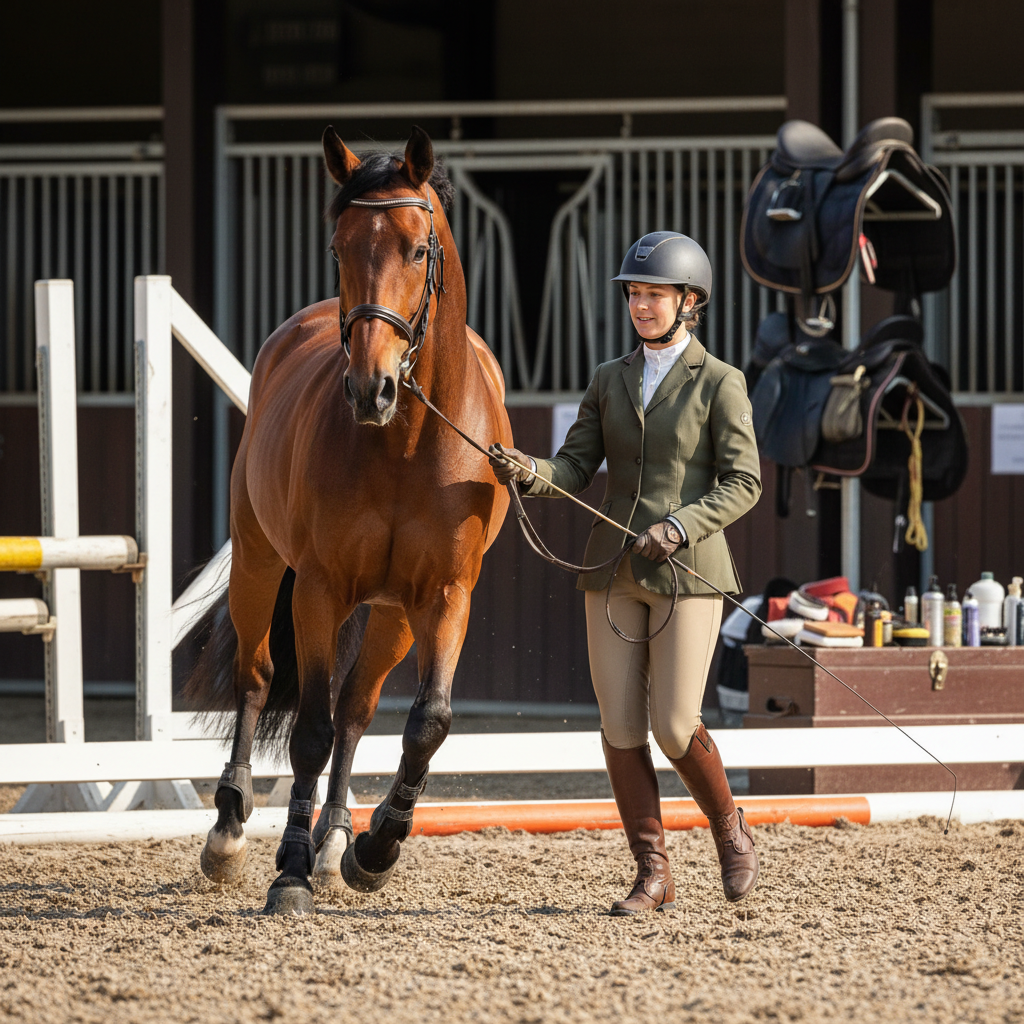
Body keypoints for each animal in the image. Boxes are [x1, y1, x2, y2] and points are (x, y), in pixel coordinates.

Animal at [186, 125, 512, 915]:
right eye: (338, 248)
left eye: (419, 250)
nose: (372, 388)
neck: (407, 443)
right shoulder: (319, 589)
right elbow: (308, 729)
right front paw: (290, 872)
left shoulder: (445, 596)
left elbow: (427, 722)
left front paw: (375, 848)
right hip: (260, 566)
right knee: (255, 677)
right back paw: (231, 831)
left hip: (392, 614)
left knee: (357, 709)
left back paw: (337, 841)